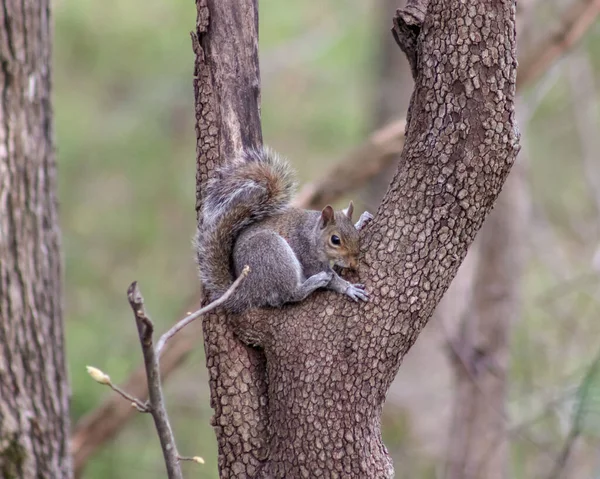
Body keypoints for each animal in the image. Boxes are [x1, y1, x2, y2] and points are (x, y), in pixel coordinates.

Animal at [193, 150, 370, 316]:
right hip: (271, 253)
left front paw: (362, 220)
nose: (353, 264)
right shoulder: (307, 255)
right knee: (289, 294)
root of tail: (247, 292)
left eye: (356, 235)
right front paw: (348, 288)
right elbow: (329, 277)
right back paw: (315, 281)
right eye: (335, 240)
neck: (312, 233)